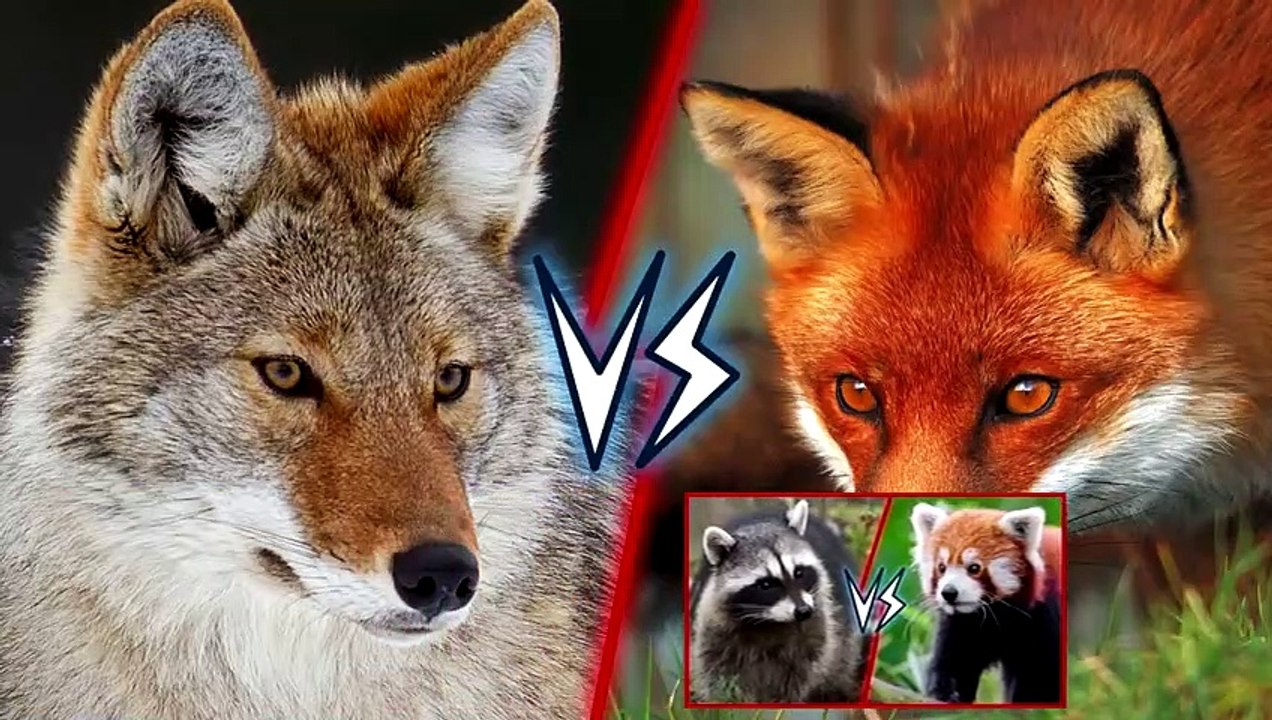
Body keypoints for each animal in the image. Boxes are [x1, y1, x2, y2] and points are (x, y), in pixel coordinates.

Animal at [688, 499, 866, 703]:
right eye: (766, 584)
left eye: (799, 572)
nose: (803, 611)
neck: (768, 621)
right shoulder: (715, 624)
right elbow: (716, 670)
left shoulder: (817, 625)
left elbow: (799, 673)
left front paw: (782, 701)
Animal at [911, 504, 1063, 704]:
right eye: (941, 567)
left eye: (974, 568)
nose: (949, 593)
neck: (997, 616)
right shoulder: (962, 626)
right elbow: (954, 661)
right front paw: (944, 693)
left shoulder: (1045, 620)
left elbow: (1040, 677)